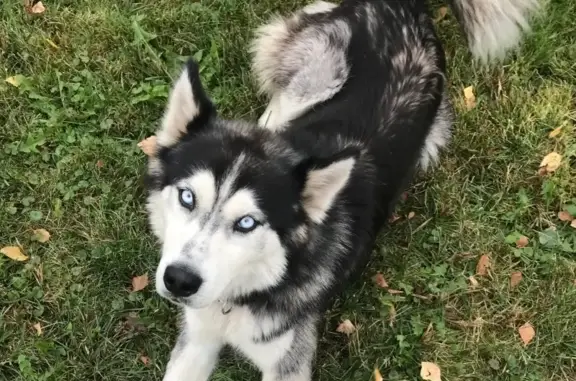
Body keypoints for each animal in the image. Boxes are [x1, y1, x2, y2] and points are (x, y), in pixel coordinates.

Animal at [144, 0, 540, 380]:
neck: (247, 294)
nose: (179, 280)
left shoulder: (289, 360)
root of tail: (409, 6)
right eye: (187, 197)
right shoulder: (196, 339)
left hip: (431, 137)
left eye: (247, 223)